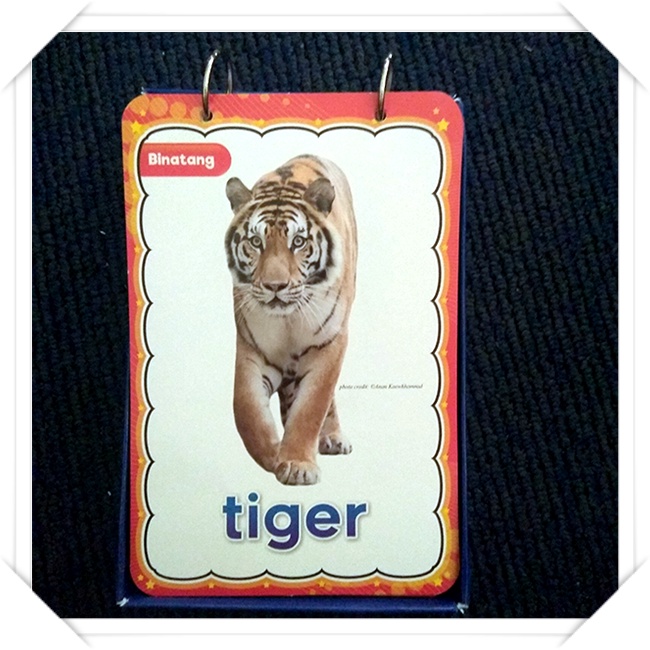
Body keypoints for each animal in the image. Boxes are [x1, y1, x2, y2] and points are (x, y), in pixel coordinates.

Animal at [224, 154, 358, 486]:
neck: (289, 319)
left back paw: (333, 438)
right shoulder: (252, 349)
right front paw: (275, 456)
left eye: (298, 242)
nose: (275, 286)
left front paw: (297, 464)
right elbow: (246, 410)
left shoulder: (330, 344)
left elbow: (311, 407)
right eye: (255, 242)